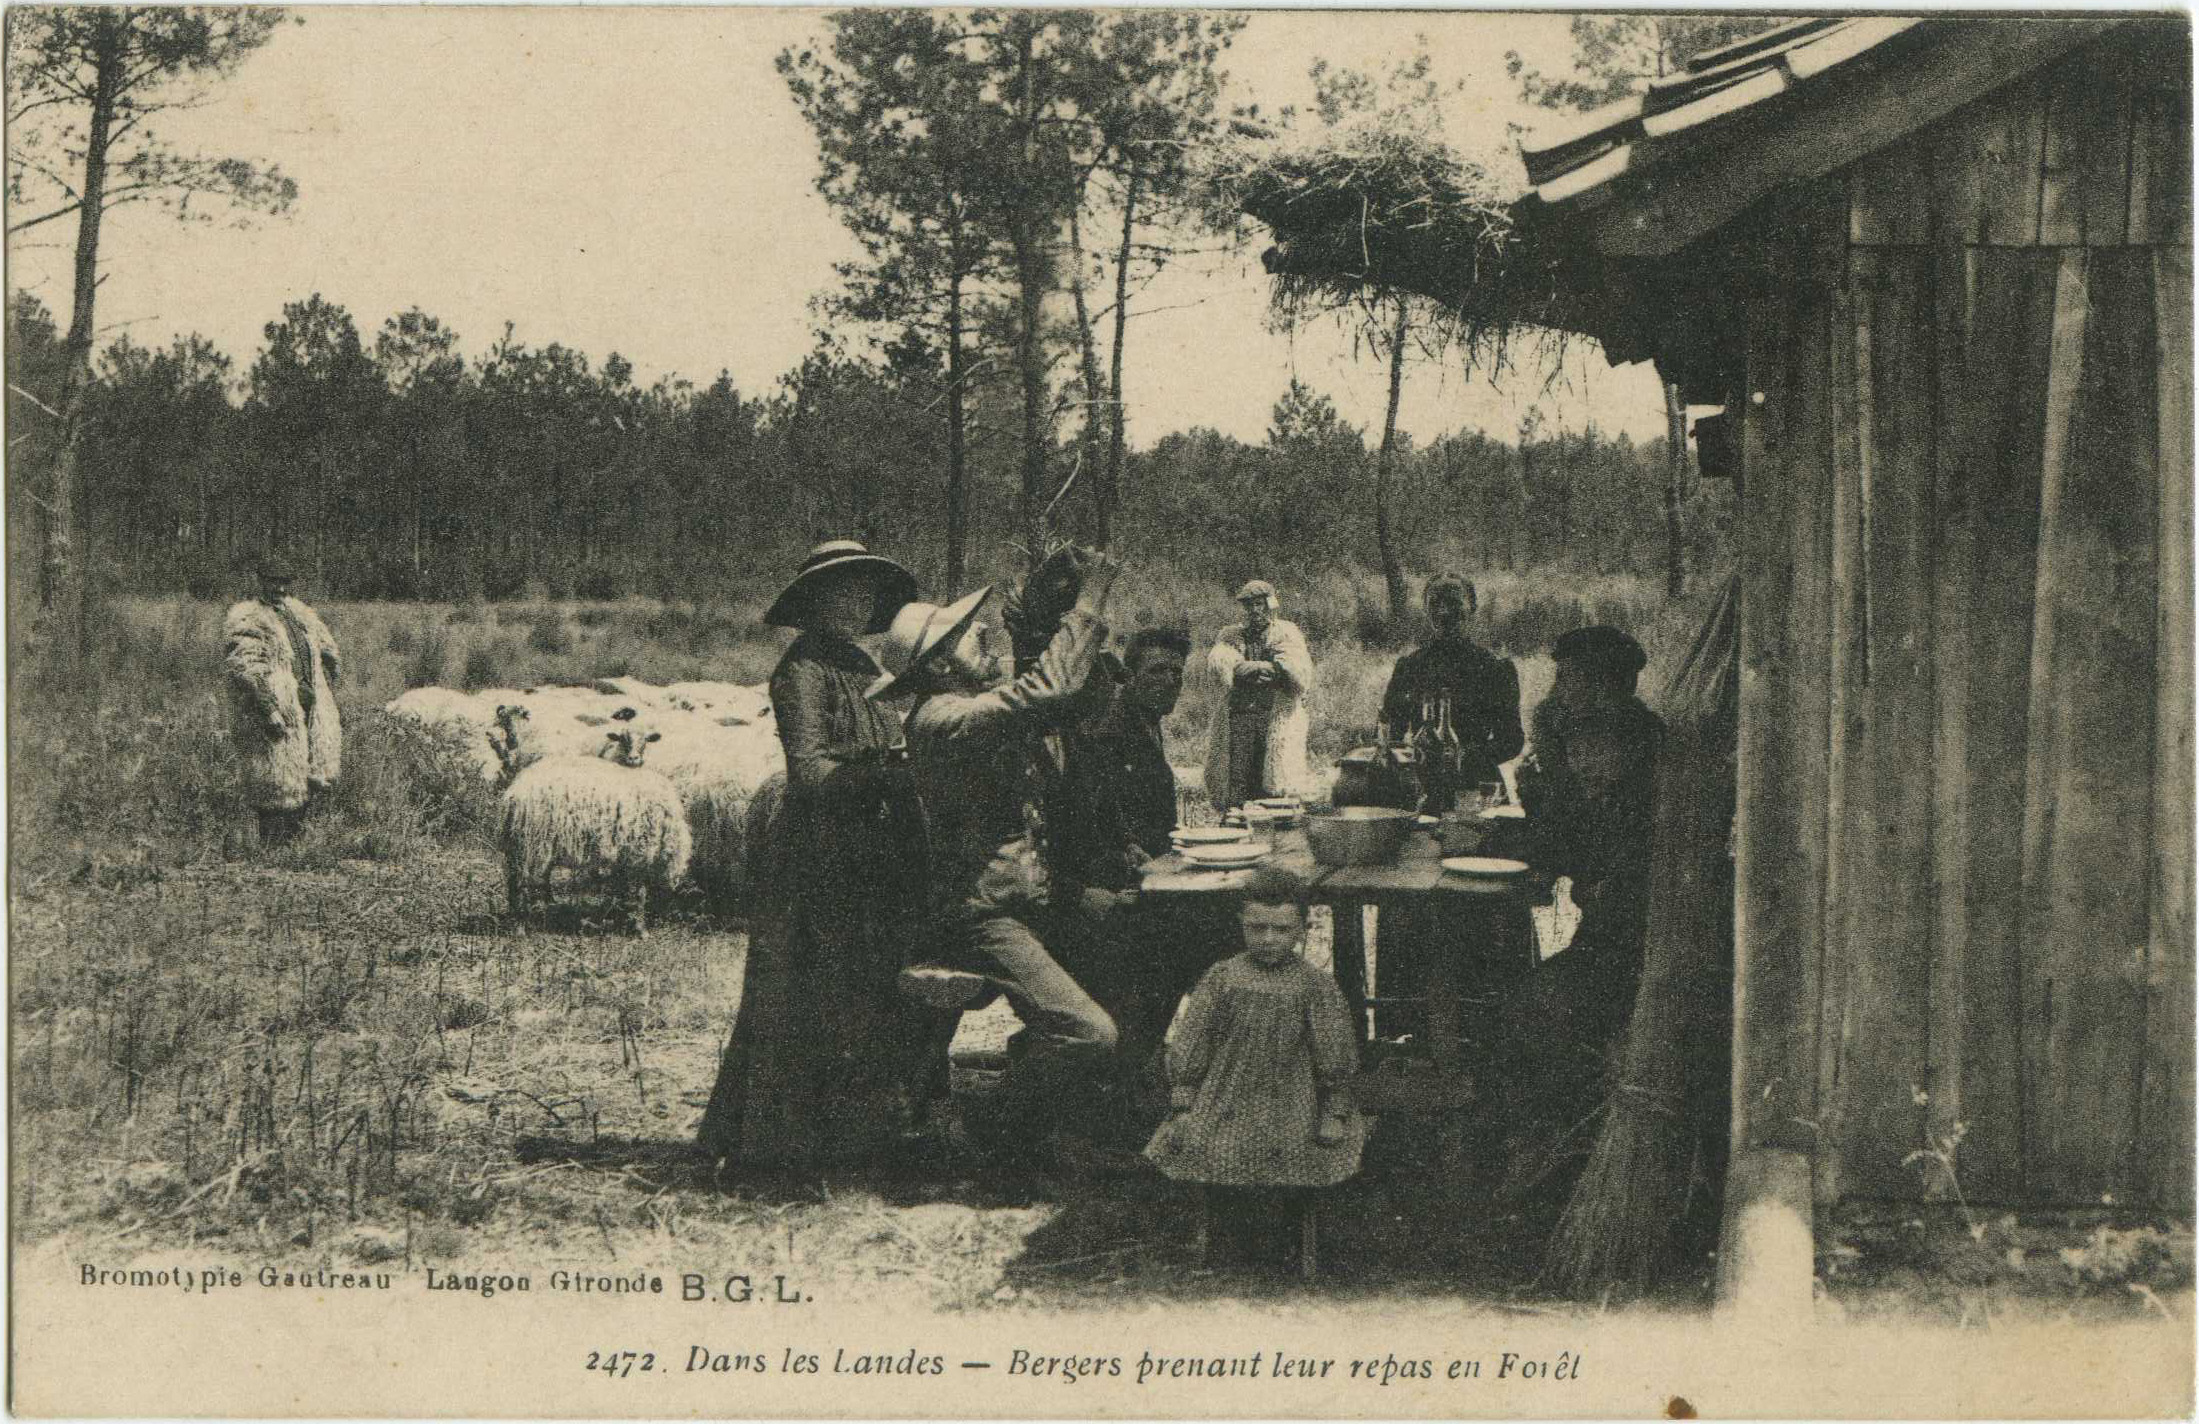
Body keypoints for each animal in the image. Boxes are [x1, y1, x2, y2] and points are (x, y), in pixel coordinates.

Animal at [496, 725, 686, 936]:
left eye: (645, 741)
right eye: (623, 740)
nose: (634, 759)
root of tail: (513, 793)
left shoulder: (624, 855)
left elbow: (621, 889)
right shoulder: (639, 851)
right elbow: (639, 892)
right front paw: (640, 928)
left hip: (522, 843)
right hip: (529, 842)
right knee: (519, 882)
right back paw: (521, 927)